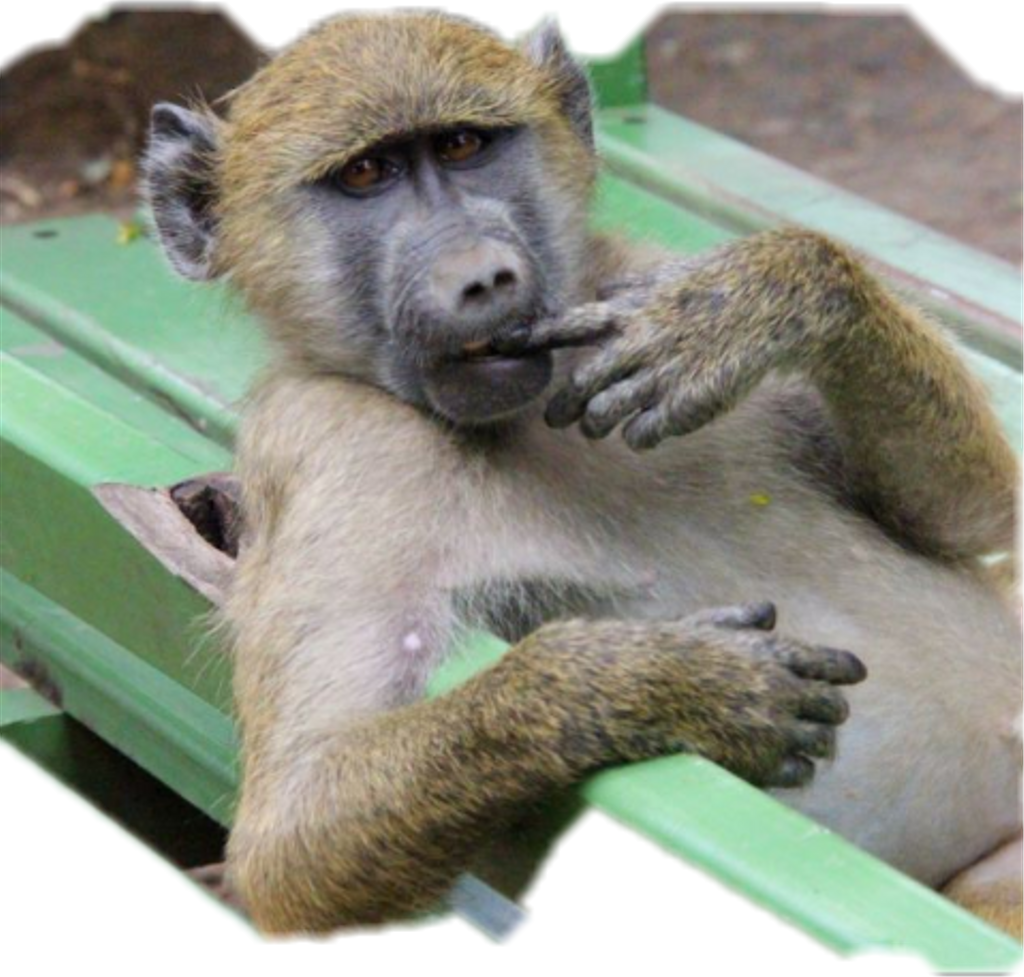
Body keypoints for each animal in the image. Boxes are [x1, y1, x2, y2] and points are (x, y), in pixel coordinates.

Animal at [142, 9, 1024, 945]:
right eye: (367, 174)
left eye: (463, 145)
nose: (482, 274)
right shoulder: (327, 444)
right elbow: (293, 839)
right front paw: (668, 680)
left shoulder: (627, 277)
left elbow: (977, 515)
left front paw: (749, 302)